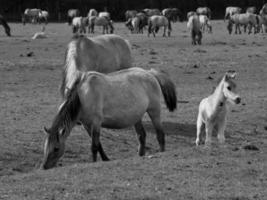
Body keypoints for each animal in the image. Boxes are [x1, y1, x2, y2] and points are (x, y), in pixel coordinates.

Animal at [40, 67, 178, 169]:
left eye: (56, 148)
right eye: (45, 145)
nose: (45, 166)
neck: (83, 95)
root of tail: (150, 73)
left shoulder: (96, 122)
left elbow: (94, 146)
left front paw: (94, 162)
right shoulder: (86, 124)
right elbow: (98, 144)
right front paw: (105, 159)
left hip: (154, 111)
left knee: (160, 134)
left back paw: (161, 152)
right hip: (136, 117)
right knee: (141, 136)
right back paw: (140, 155)